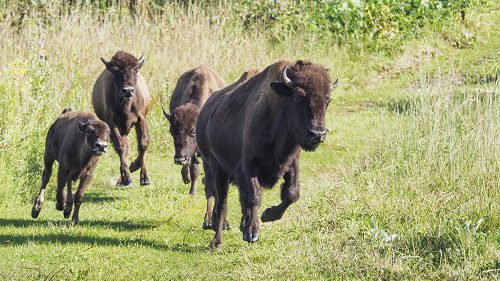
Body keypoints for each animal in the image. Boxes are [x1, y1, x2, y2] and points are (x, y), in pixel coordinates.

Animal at [92, 50, 150, 186]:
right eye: (115, 70)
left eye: (135, 69)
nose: (128, 90)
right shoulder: (112, 123)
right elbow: (120, 146)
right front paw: (127, 177)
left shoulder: (141, 118)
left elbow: (143, 143)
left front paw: (139, 172)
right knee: (125, 148)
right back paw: (123, 179)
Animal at [197, 60, 338, 246]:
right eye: (298, 97)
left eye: (328, 100)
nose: (317, 134)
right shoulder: (248, 167)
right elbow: (254, 197)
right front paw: (252, 233)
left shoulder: (291, 164)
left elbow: (292, 193)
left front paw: (267, 215)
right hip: (217, 168)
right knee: (222, 203)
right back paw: (216, 241)